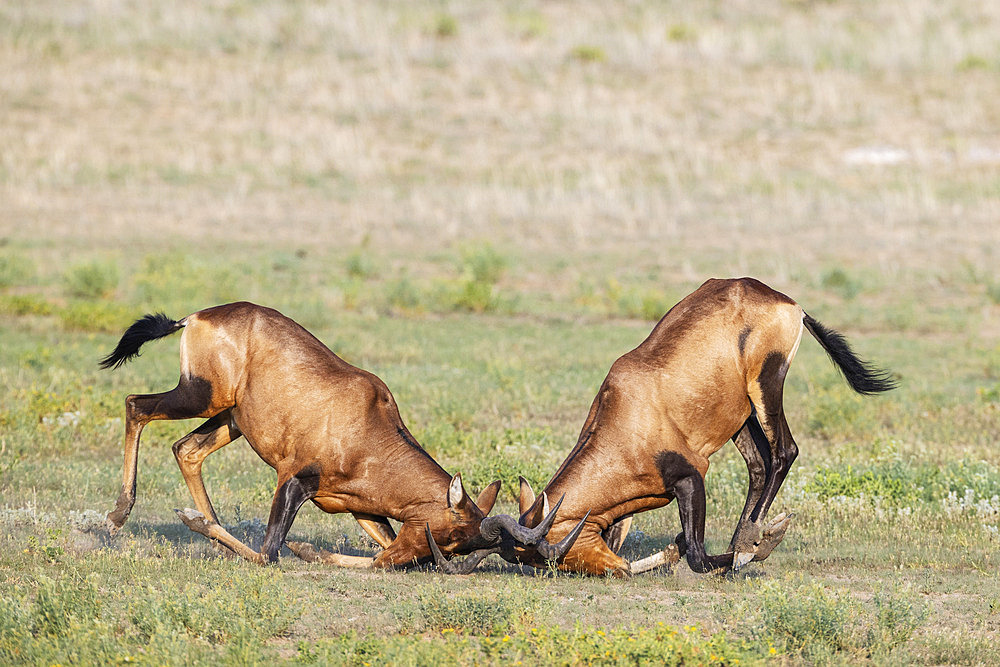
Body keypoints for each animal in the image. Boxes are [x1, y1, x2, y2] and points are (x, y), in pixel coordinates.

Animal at [101, 302, 576, 568]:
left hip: (230, 419)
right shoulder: (295, 479)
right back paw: (121, 515)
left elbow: (380, 540)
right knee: (135, 405)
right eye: (451, 536)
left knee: (187, 450)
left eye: (458, 548)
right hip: (201, 397)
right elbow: (270, 553)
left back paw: (205, 522)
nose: (407, 561)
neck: (366, 422)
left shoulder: (360, 507)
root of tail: (196, 318)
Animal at [458, 278, 896, 580]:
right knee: (759, 464)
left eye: (554, 554)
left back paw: (749, 541)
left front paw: (740, 555)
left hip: (766, 386)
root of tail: (787, 303)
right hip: (739, 415)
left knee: (784, 452)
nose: (615, 570)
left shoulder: (690, 478)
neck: (626, 414)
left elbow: (698, 556)